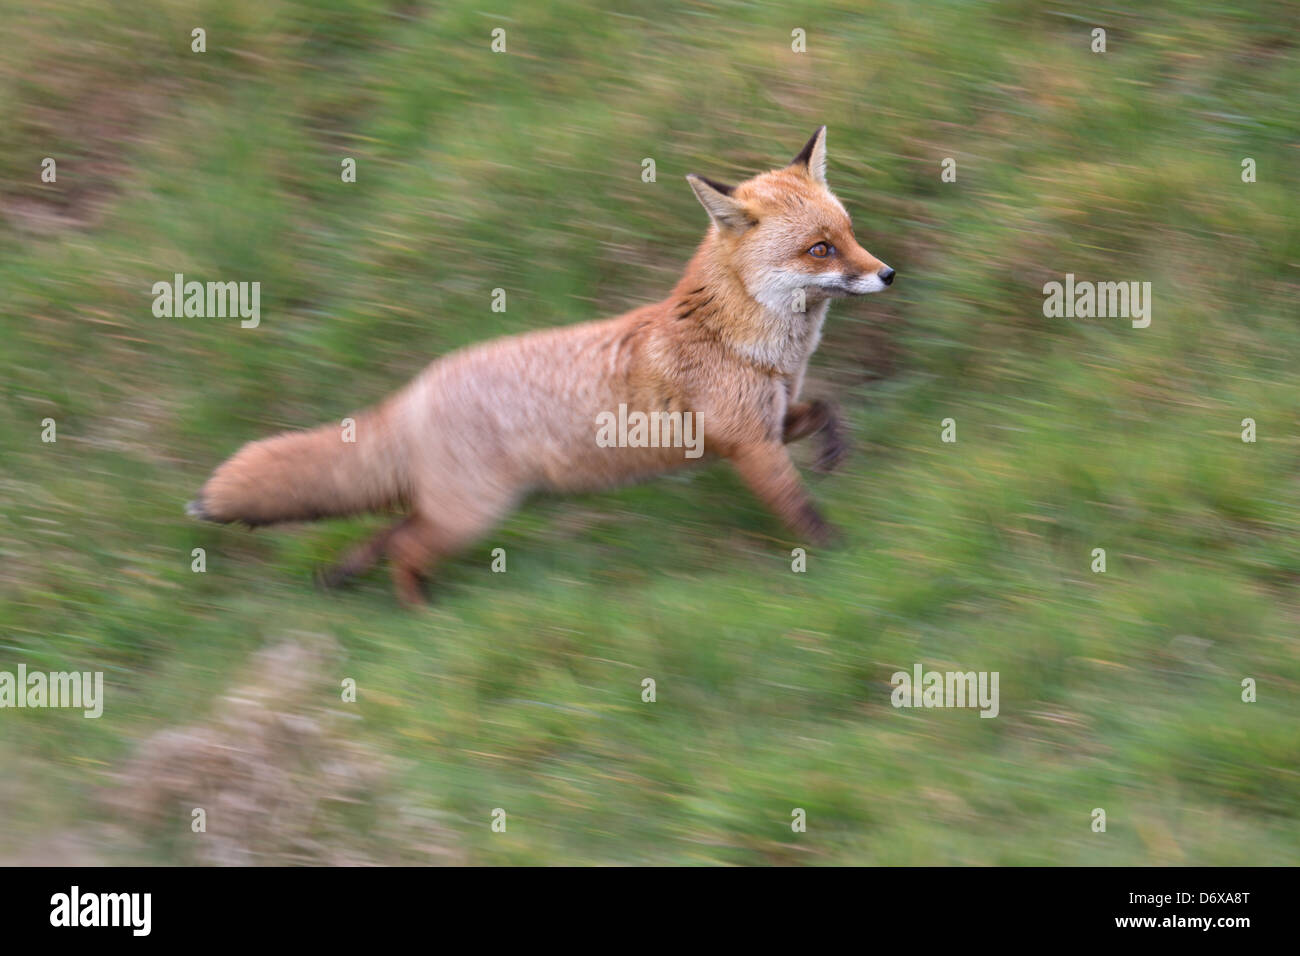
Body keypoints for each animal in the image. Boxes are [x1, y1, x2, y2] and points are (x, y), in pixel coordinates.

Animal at [189, 128, 894, 606]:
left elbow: (827, 409)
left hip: (456, 507)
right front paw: (842, 560)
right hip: (474, 513)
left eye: (850, 233)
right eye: (820, 249)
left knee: (389, 535)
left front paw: (836, 452)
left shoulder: (766, 422)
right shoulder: (749, 445)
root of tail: (418, 387)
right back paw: (423, 617)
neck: (740, 342)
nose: (887, 274)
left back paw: (345, 576)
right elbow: (802, 512)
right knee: (405, 549)